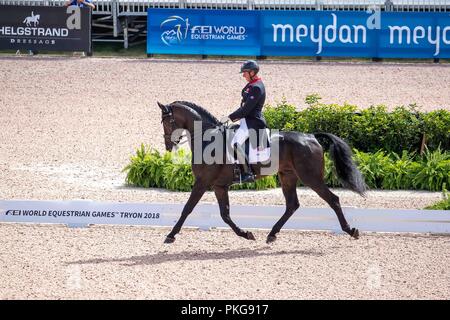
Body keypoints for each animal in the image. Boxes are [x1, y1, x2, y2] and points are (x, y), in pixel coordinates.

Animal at [156, 101, 368, 244]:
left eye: (167, 122)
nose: (168, 146)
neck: (208, 139)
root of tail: (311, 137)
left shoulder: (202, 182)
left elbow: (187, 208)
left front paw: (171, 235)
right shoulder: (219, 186)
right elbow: (225, 214)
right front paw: (246, 234)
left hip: (311, 178)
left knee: (333, 200)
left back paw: (350, 230)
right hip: (287, 176)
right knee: (292, 205)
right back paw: (272, 234)